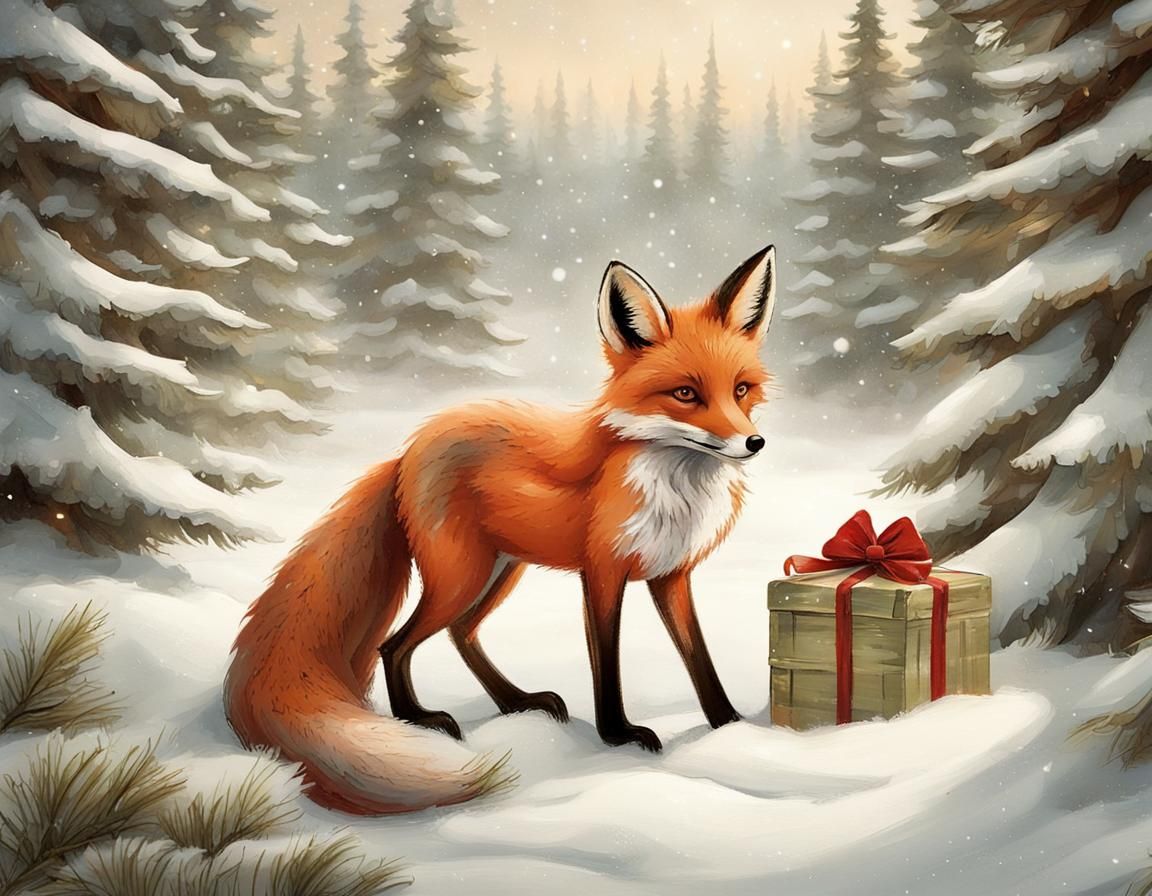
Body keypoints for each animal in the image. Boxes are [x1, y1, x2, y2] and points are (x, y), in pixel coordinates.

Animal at [224, 245, 778, 815]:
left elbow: (699, 659)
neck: (674, 489)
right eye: (686, 393)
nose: (753, 443)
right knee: (396, 644)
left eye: (740, 390)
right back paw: (418, 719)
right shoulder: (603, 571)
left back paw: (516, 702)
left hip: (502, 570)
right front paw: (618, 735)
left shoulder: (672, 575)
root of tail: (407, 450)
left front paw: (730, 729)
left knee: (461, 633)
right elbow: (606, 661)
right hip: (462, 574)